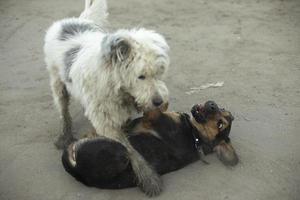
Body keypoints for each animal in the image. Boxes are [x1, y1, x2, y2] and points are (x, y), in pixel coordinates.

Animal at [43, 0, 170, 197]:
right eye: (141, 76)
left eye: (159, 73)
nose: (158, 102)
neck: (115, 83)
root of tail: (69, 21)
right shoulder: (106, 123)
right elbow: (130, 150)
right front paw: (149, 179)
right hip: (57, 82)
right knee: (63, 110)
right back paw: (64, 135)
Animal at [61, 101, 239, 190]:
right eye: (222, 108)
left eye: (221, 124)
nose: (212, 104)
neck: (196, 136)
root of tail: (78, 174)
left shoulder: (153, 118)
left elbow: (158, 107)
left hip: (121, 152)